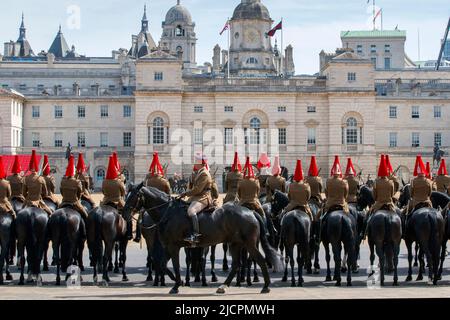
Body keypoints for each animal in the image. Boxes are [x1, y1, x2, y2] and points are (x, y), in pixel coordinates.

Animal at [123, 185, 284, 296]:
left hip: (249, 244)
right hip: (235, 244)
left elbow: (175, 266)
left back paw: (265, 286)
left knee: (260, 260)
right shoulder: (168, 246)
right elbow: (163, 264)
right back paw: (223, 286)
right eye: (126, 194)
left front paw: (176, 285)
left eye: (133, 196)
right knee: (236, 265)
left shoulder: (174, 246)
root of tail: (251, 212)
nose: (123, 214)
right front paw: (179, 282)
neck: (168, 213)